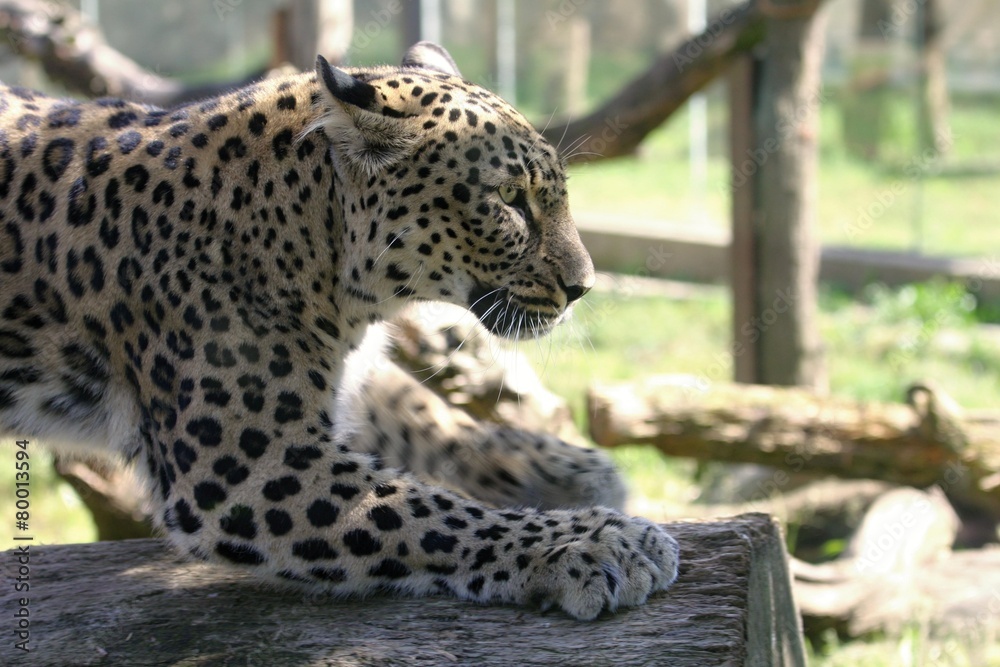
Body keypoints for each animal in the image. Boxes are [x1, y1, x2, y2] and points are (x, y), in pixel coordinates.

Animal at [0, 41, 679, 620]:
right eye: (510, 200)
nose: (582, 286)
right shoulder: (245, 466)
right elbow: (425, 512)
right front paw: (594, 542)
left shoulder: (339, 374)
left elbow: (422, 417)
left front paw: (565, 474)